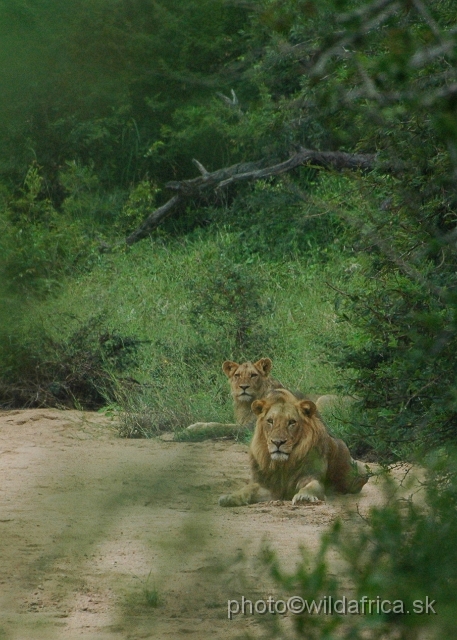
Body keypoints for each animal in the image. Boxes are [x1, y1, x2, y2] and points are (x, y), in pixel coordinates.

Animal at [219, 388, 368, 508]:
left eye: (292, 422)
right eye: (270, 421)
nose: (277, 442)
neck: (282, 465)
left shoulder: (310, 477)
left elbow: (313, 486)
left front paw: (305, 497)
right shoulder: (268, 486)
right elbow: (249, 488)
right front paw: (231, 497)